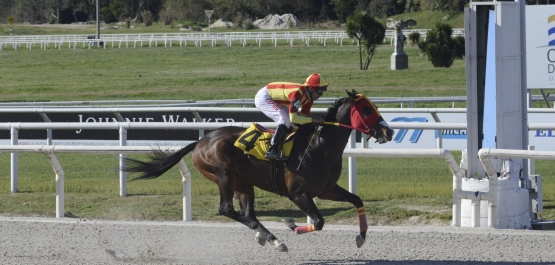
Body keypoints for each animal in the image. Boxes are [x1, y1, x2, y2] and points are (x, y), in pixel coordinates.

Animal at [125, 89, 396, 251]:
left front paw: (361, 236)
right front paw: (290, 223)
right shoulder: (298, 194)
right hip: (224, 176)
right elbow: (318, 222)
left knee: (248, 213)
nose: (389, 131)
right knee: (227, 209)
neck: (319, 146)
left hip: (244, 182)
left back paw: (268, 237)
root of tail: (201, 141)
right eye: (367, 110)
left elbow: (356, 199)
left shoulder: (327, 189)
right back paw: (271, 237)